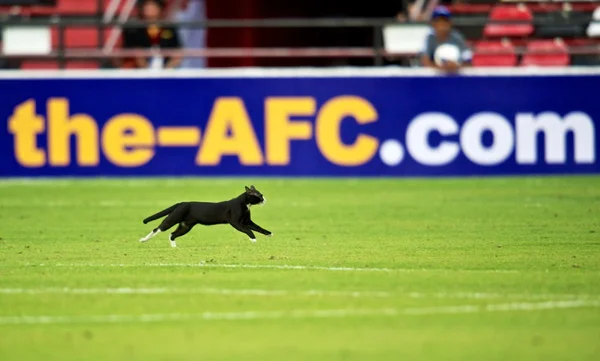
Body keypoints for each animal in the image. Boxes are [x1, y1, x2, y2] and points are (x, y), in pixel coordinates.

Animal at [138, 184, 272, 246]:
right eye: (259, 195)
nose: (265, 199)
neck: (245, 204)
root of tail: (181, 203)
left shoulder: (247, 221)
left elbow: (258, 227)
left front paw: (269, 233)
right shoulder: (235, 222)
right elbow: (248, 230)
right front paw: (253, 239)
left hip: (186, 226)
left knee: (172, 234)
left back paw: (174, 247)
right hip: (173, 219)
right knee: (158, 229)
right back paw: (143, 239)